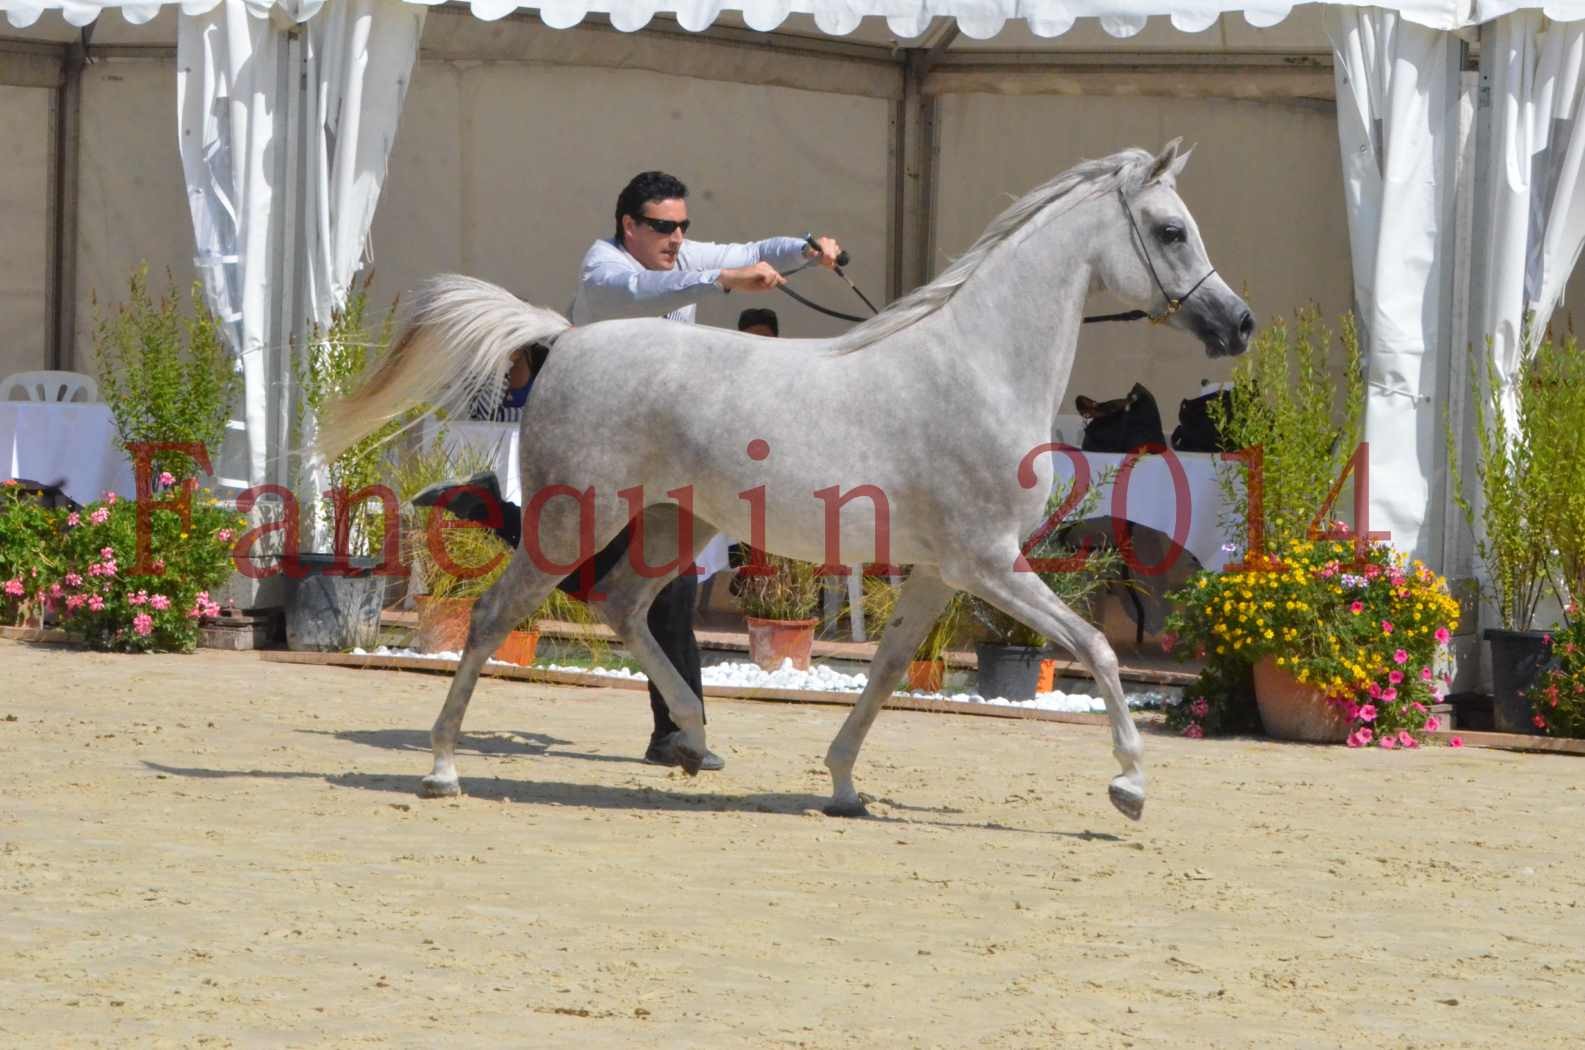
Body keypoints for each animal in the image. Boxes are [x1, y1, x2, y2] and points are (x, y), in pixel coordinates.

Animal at [318, 144, 1248, 824]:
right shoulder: (989, 563)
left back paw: (693, 739)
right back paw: (443, 767)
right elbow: (1097, 649)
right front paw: (1129, 787)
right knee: (491, 615)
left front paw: (841, 787)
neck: (977, 368)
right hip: (571, 519)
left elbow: (886, 671)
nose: (1236, 325)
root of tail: (564, 340)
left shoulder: (941, 571)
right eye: (1170, 230)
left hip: (673, 524)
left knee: (622, 605)